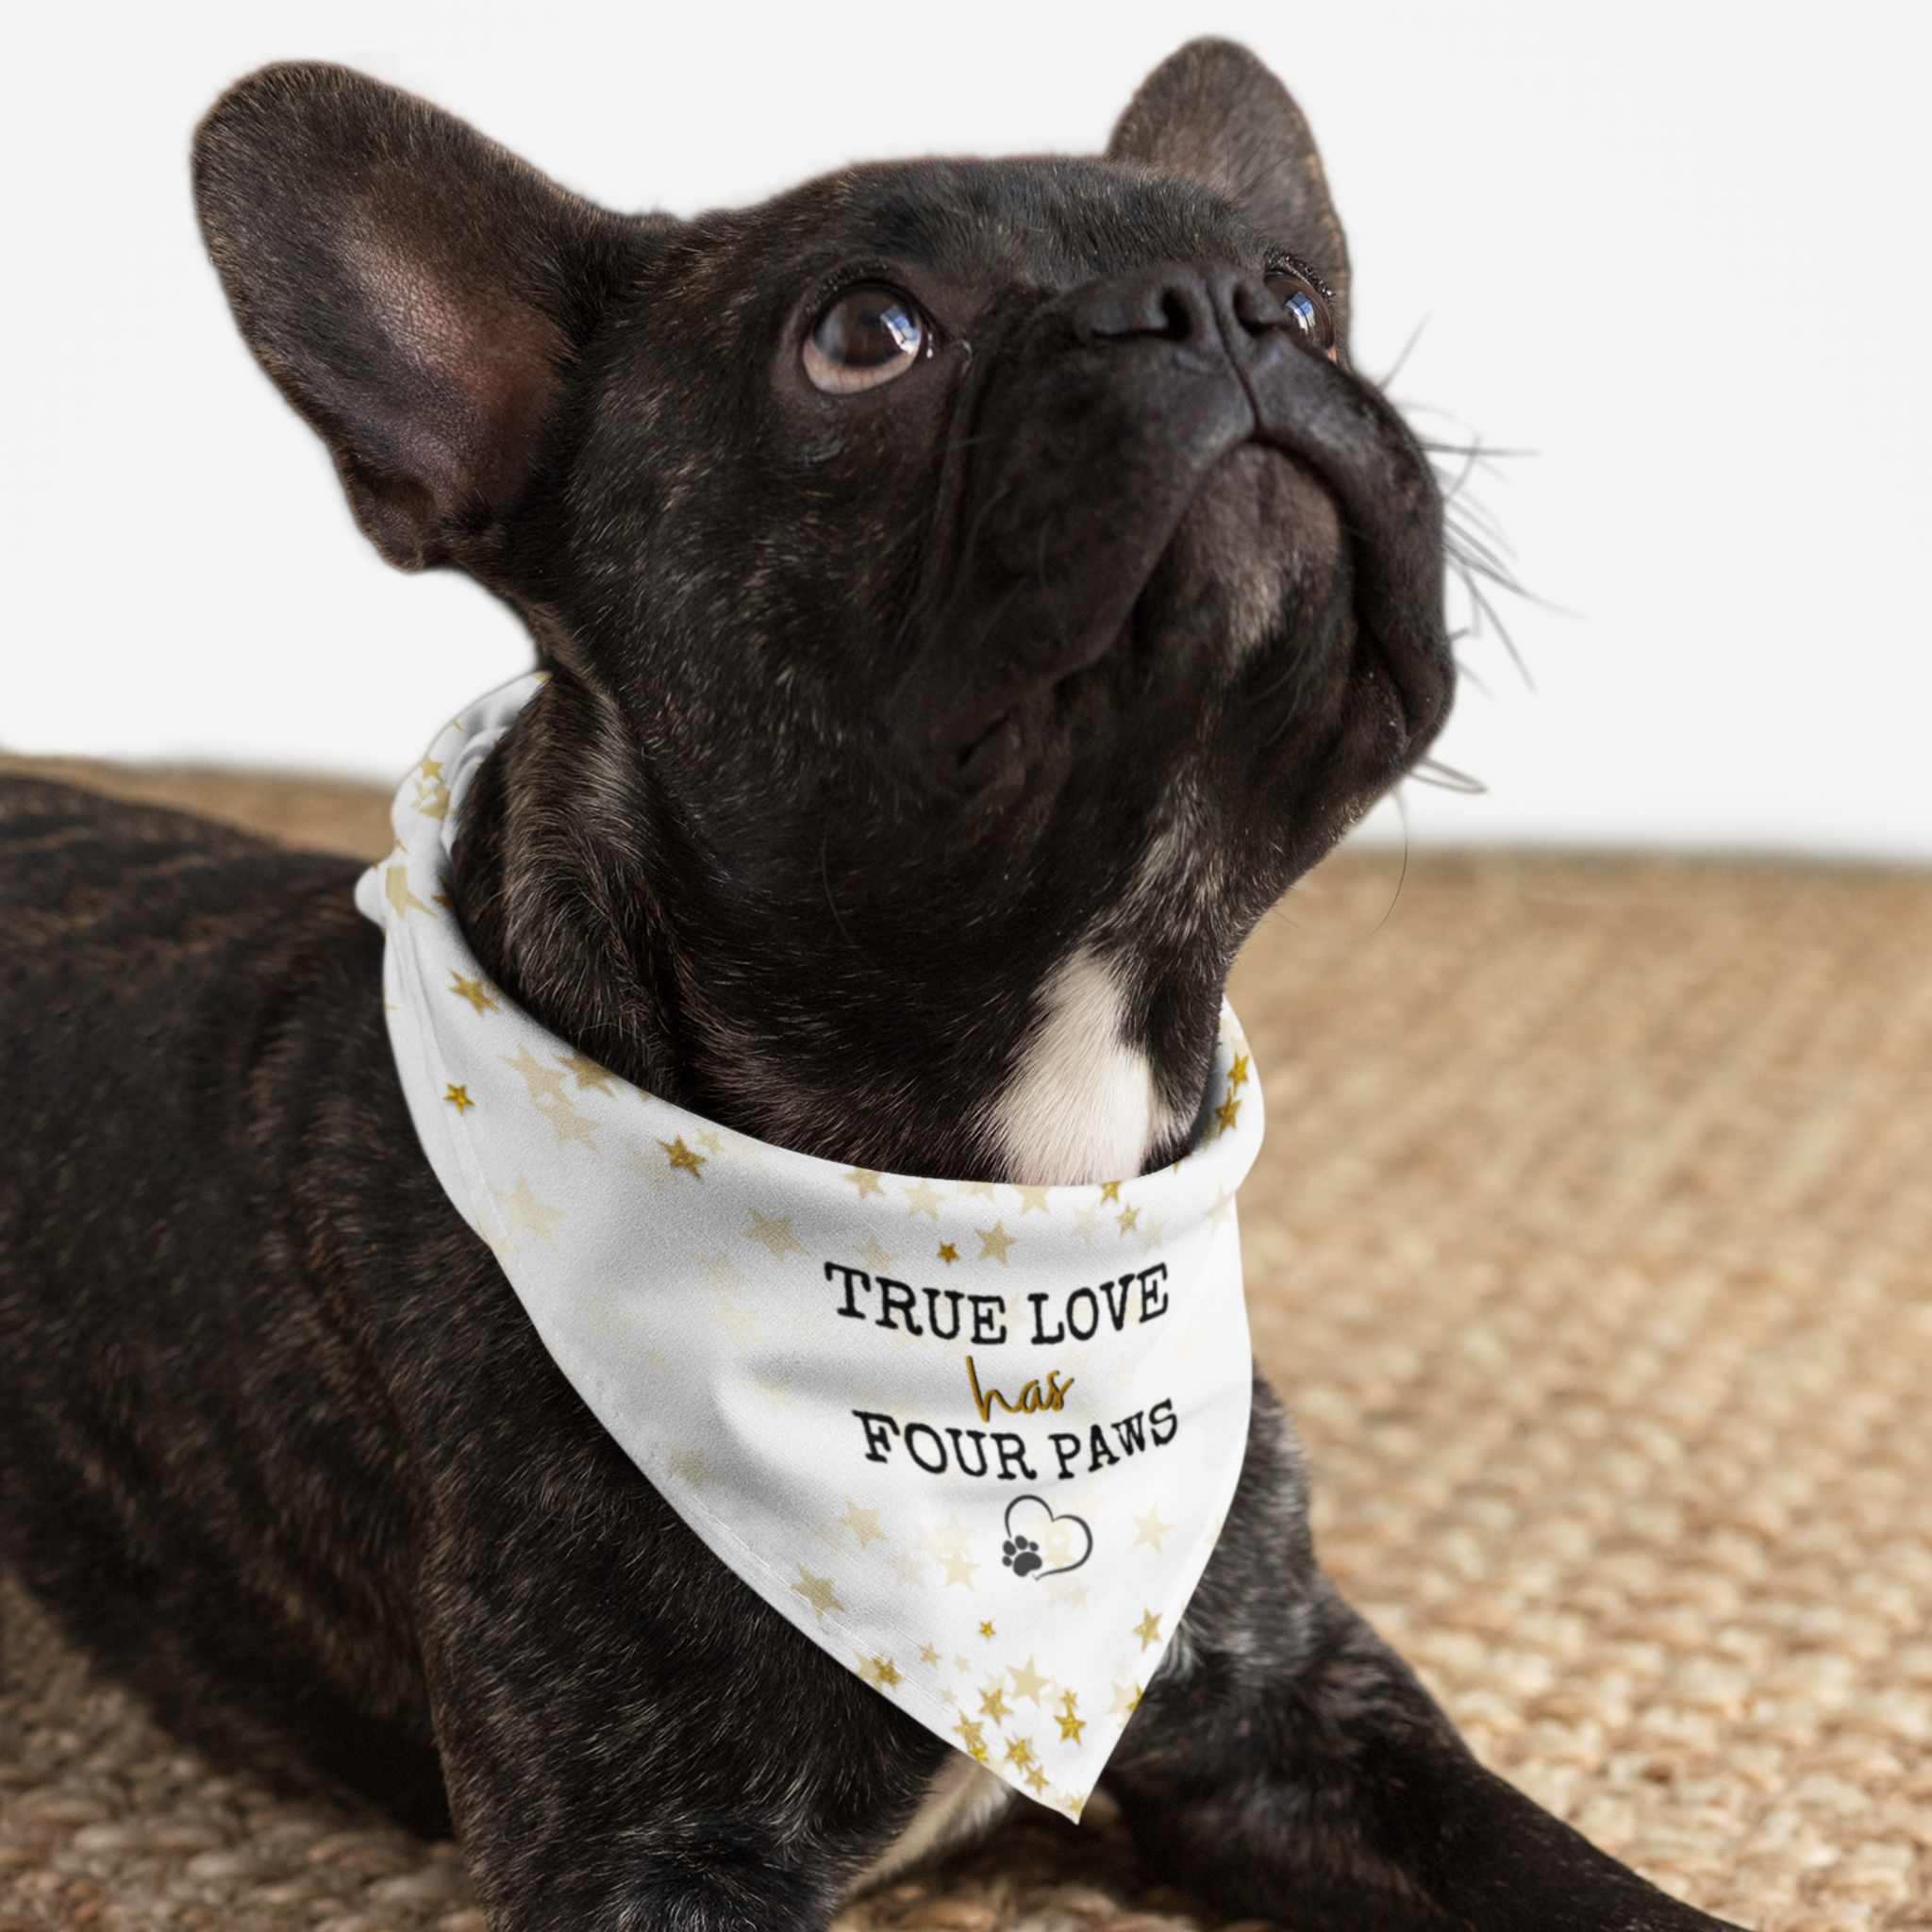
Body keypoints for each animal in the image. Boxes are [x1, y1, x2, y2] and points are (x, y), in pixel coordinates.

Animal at [0, 34, 1746, 1932]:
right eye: (864, 335)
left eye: (1298, 295)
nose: (1218, 309)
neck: (992, 1231)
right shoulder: (651, 1862)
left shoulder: (1299, 1716)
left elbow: (1575, 1877)